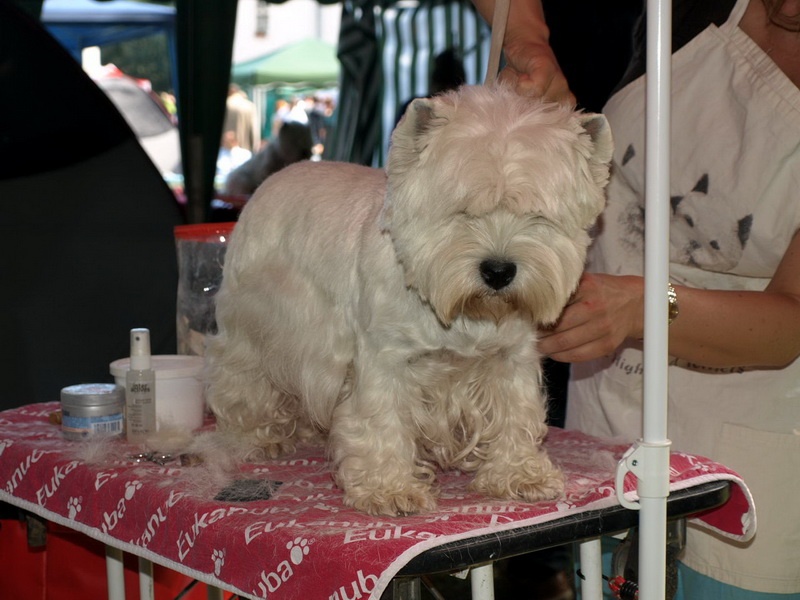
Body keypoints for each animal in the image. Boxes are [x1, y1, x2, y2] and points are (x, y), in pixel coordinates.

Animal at [206, 84, 612, 516]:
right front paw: (390, 489)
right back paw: (259, 436)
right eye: (463, 211)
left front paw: (520, 475)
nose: (499, 271)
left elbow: (515, 413)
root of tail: (271, 181)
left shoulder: (510, 357)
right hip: (255, 328)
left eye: (537, 216)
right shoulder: (383, 359)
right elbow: (381, 420)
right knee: (244, 381)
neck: (462, 313)